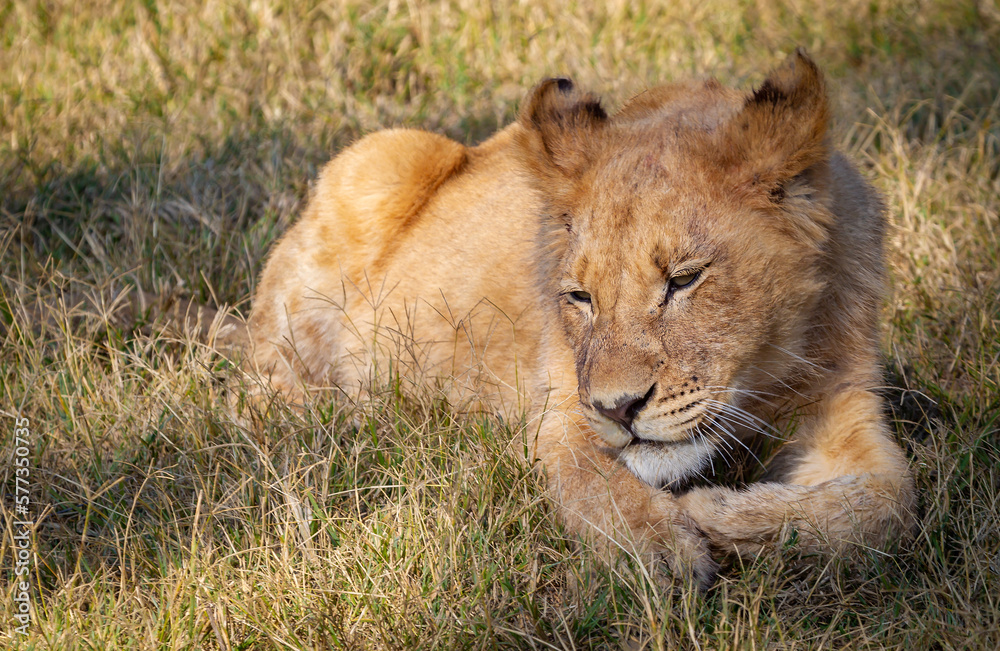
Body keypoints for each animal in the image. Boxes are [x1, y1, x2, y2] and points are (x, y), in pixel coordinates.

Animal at [244, 52, 916, 584]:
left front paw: (721, 515)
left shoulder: (843, 404)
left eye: (684, 279)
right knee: (257, 384)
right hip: (378, 158)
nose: (620, 410)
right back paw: (356, 411)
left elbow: (890, 502)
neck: (767, 373)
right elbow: (598, 486)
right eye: (580, 296)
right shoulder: (564, 412)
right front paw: (661, 547)